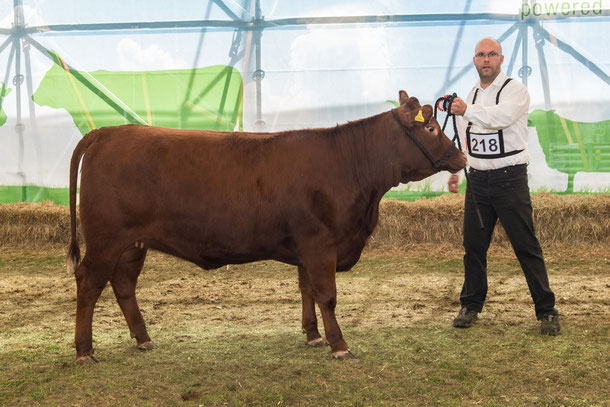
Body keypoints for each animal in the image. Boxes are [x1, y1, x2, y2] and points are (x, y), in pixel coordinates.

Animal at [66, 91, 464, 364]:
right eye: (431, 127)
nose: (460, 157)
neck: (351, 165)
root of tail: (106, 132)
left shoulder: (306, 247)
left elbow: (306, 290)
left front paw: (313, 335)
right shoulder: (321, 245)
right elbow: (327, 295)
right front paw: (339, 345)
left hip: (134, 243)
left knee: (123, 284)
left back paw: (143, 339)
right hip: (105, 240)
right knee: (89, 283)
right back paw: (85, 351)